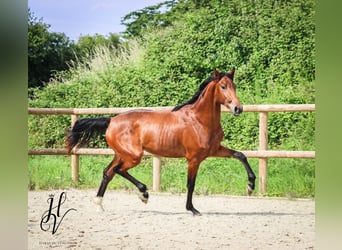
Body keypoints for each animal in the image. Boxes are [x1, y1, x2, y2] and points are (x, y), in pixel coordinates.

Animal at [65, 69, 255, 215]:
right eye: (223, 86)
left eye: (234, 86)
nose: (238, 108)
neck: (200, 120)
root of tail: (111, 120)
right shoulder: (193, 159)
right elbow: (191, 184)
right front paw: (192, 209)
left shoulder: (214, 150)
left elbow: (241, 155)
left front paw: (250, 186)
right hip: (134, 156)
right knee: (118, 171)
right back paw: (143, 194)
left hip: (121, 154)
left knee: (108, 173)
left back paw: (99, 204)